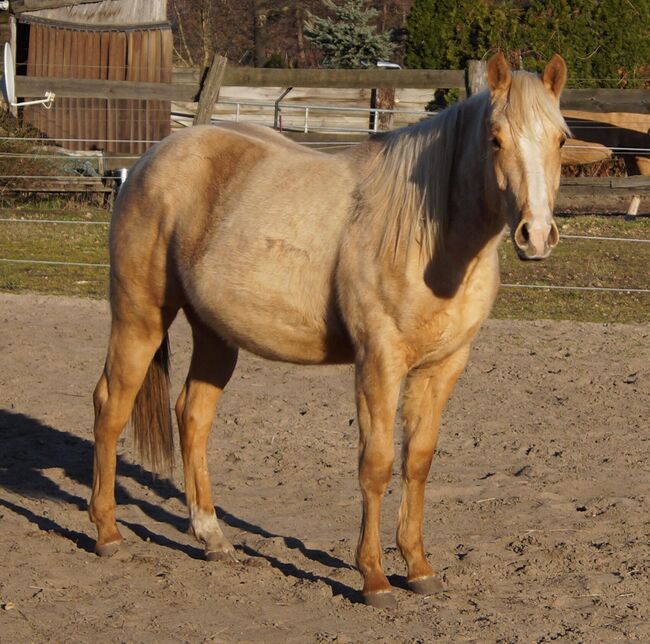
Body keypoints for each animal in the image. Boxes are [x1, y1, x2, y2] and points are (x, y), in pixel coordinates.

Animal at [91, 51, 568, 608]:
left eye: (561, 138)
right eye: (495, 138)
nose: (536, 236)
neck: (430, 237)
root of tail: (153, 158)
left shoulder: (443, 367)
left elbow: (418, 461)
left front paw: (420, 569)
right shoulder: (378, 362)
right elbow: (377, 463)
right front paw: (374, 578)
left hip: (215, 333)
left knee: (193, 415)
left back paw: (213, 539)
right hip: (139, 316)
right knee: (111, 406)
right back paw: (107, 533)